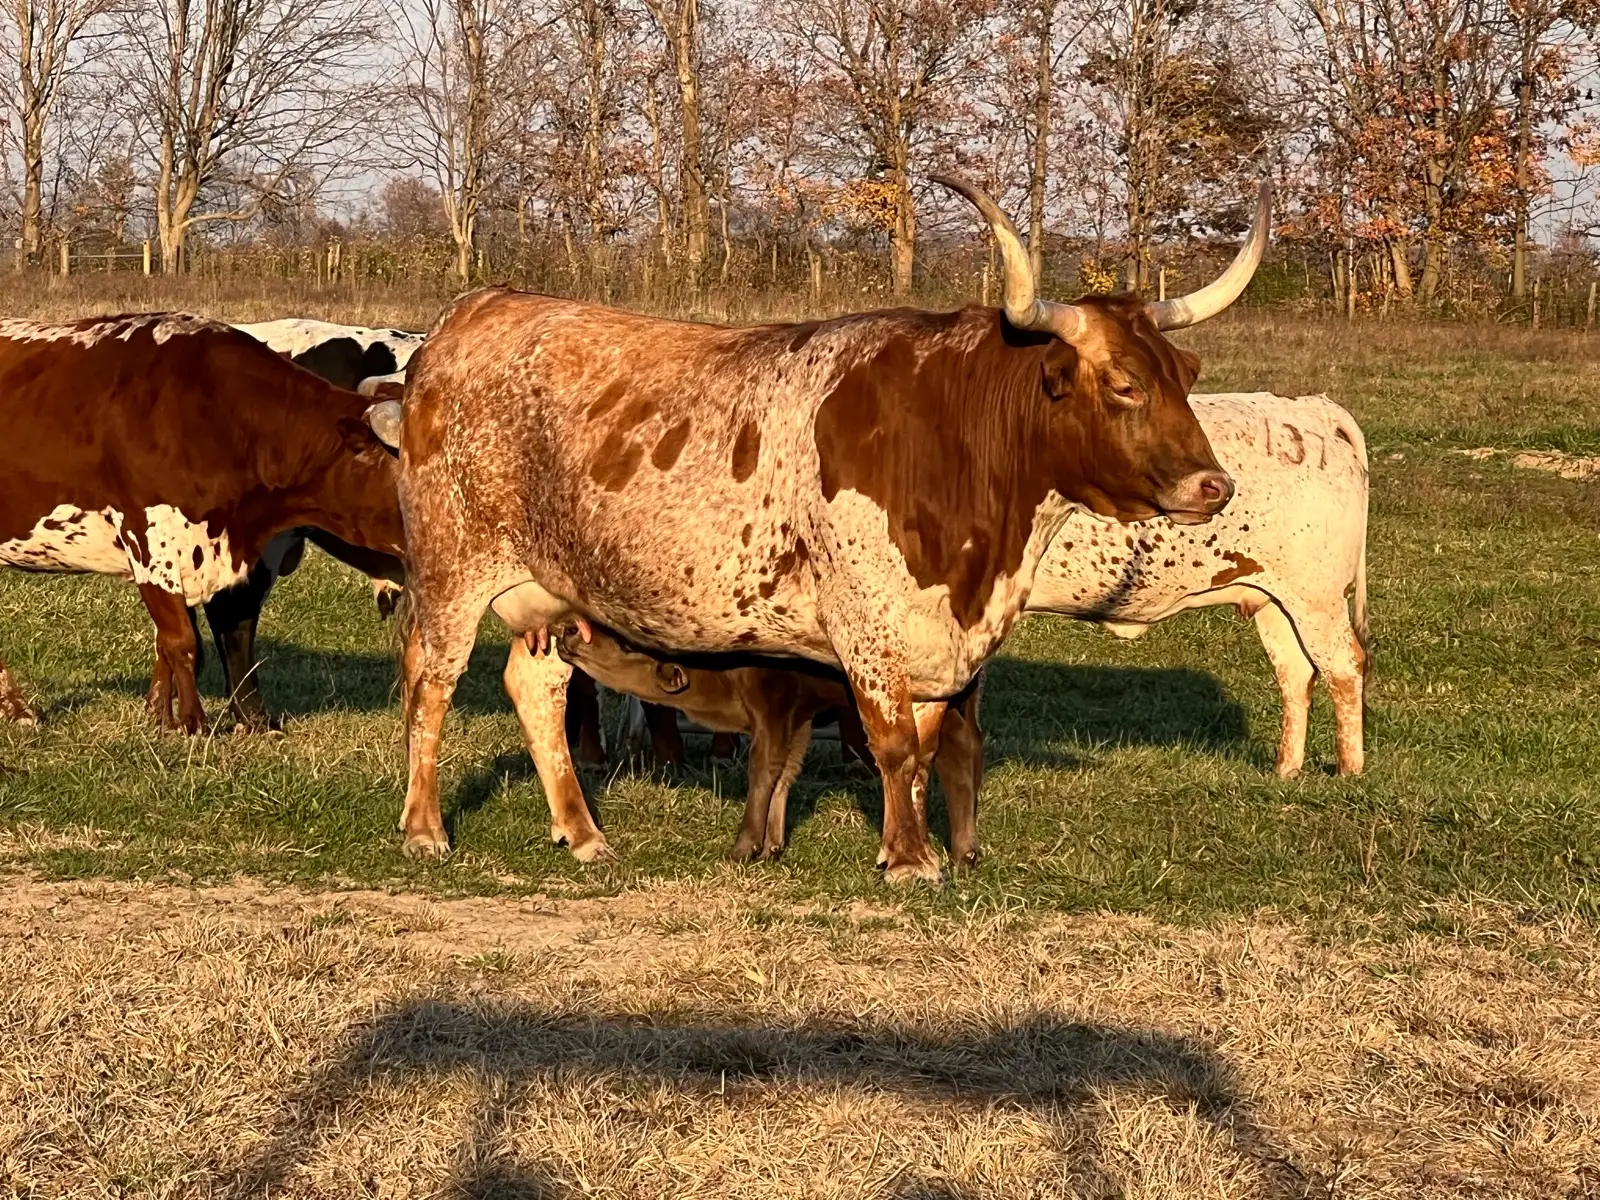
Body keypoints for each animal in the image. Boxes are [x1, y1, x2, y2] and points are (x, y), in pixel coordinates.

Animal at [0, 313, 406, 733]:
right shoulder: (150, 542)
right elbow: (183, 640)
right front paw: (194, 721)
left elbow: (171, 640)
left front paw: (162, 716)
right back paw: (18, 709)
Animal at [382, 177, 1267, 882]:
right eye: (1122, 384)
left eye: (1185, 376)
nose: (1213, 485)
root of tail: (476, 310)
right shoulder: (866, 622)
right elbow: (892, 742)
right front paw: (910, 861)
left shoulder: (938, 640)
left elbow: (921, 748)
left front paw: (910, 843)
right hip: (454, 565)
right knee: (432, 679)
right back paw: (424, 828)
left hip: (554, 588)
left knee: (536, 687)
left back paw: (583, 832)